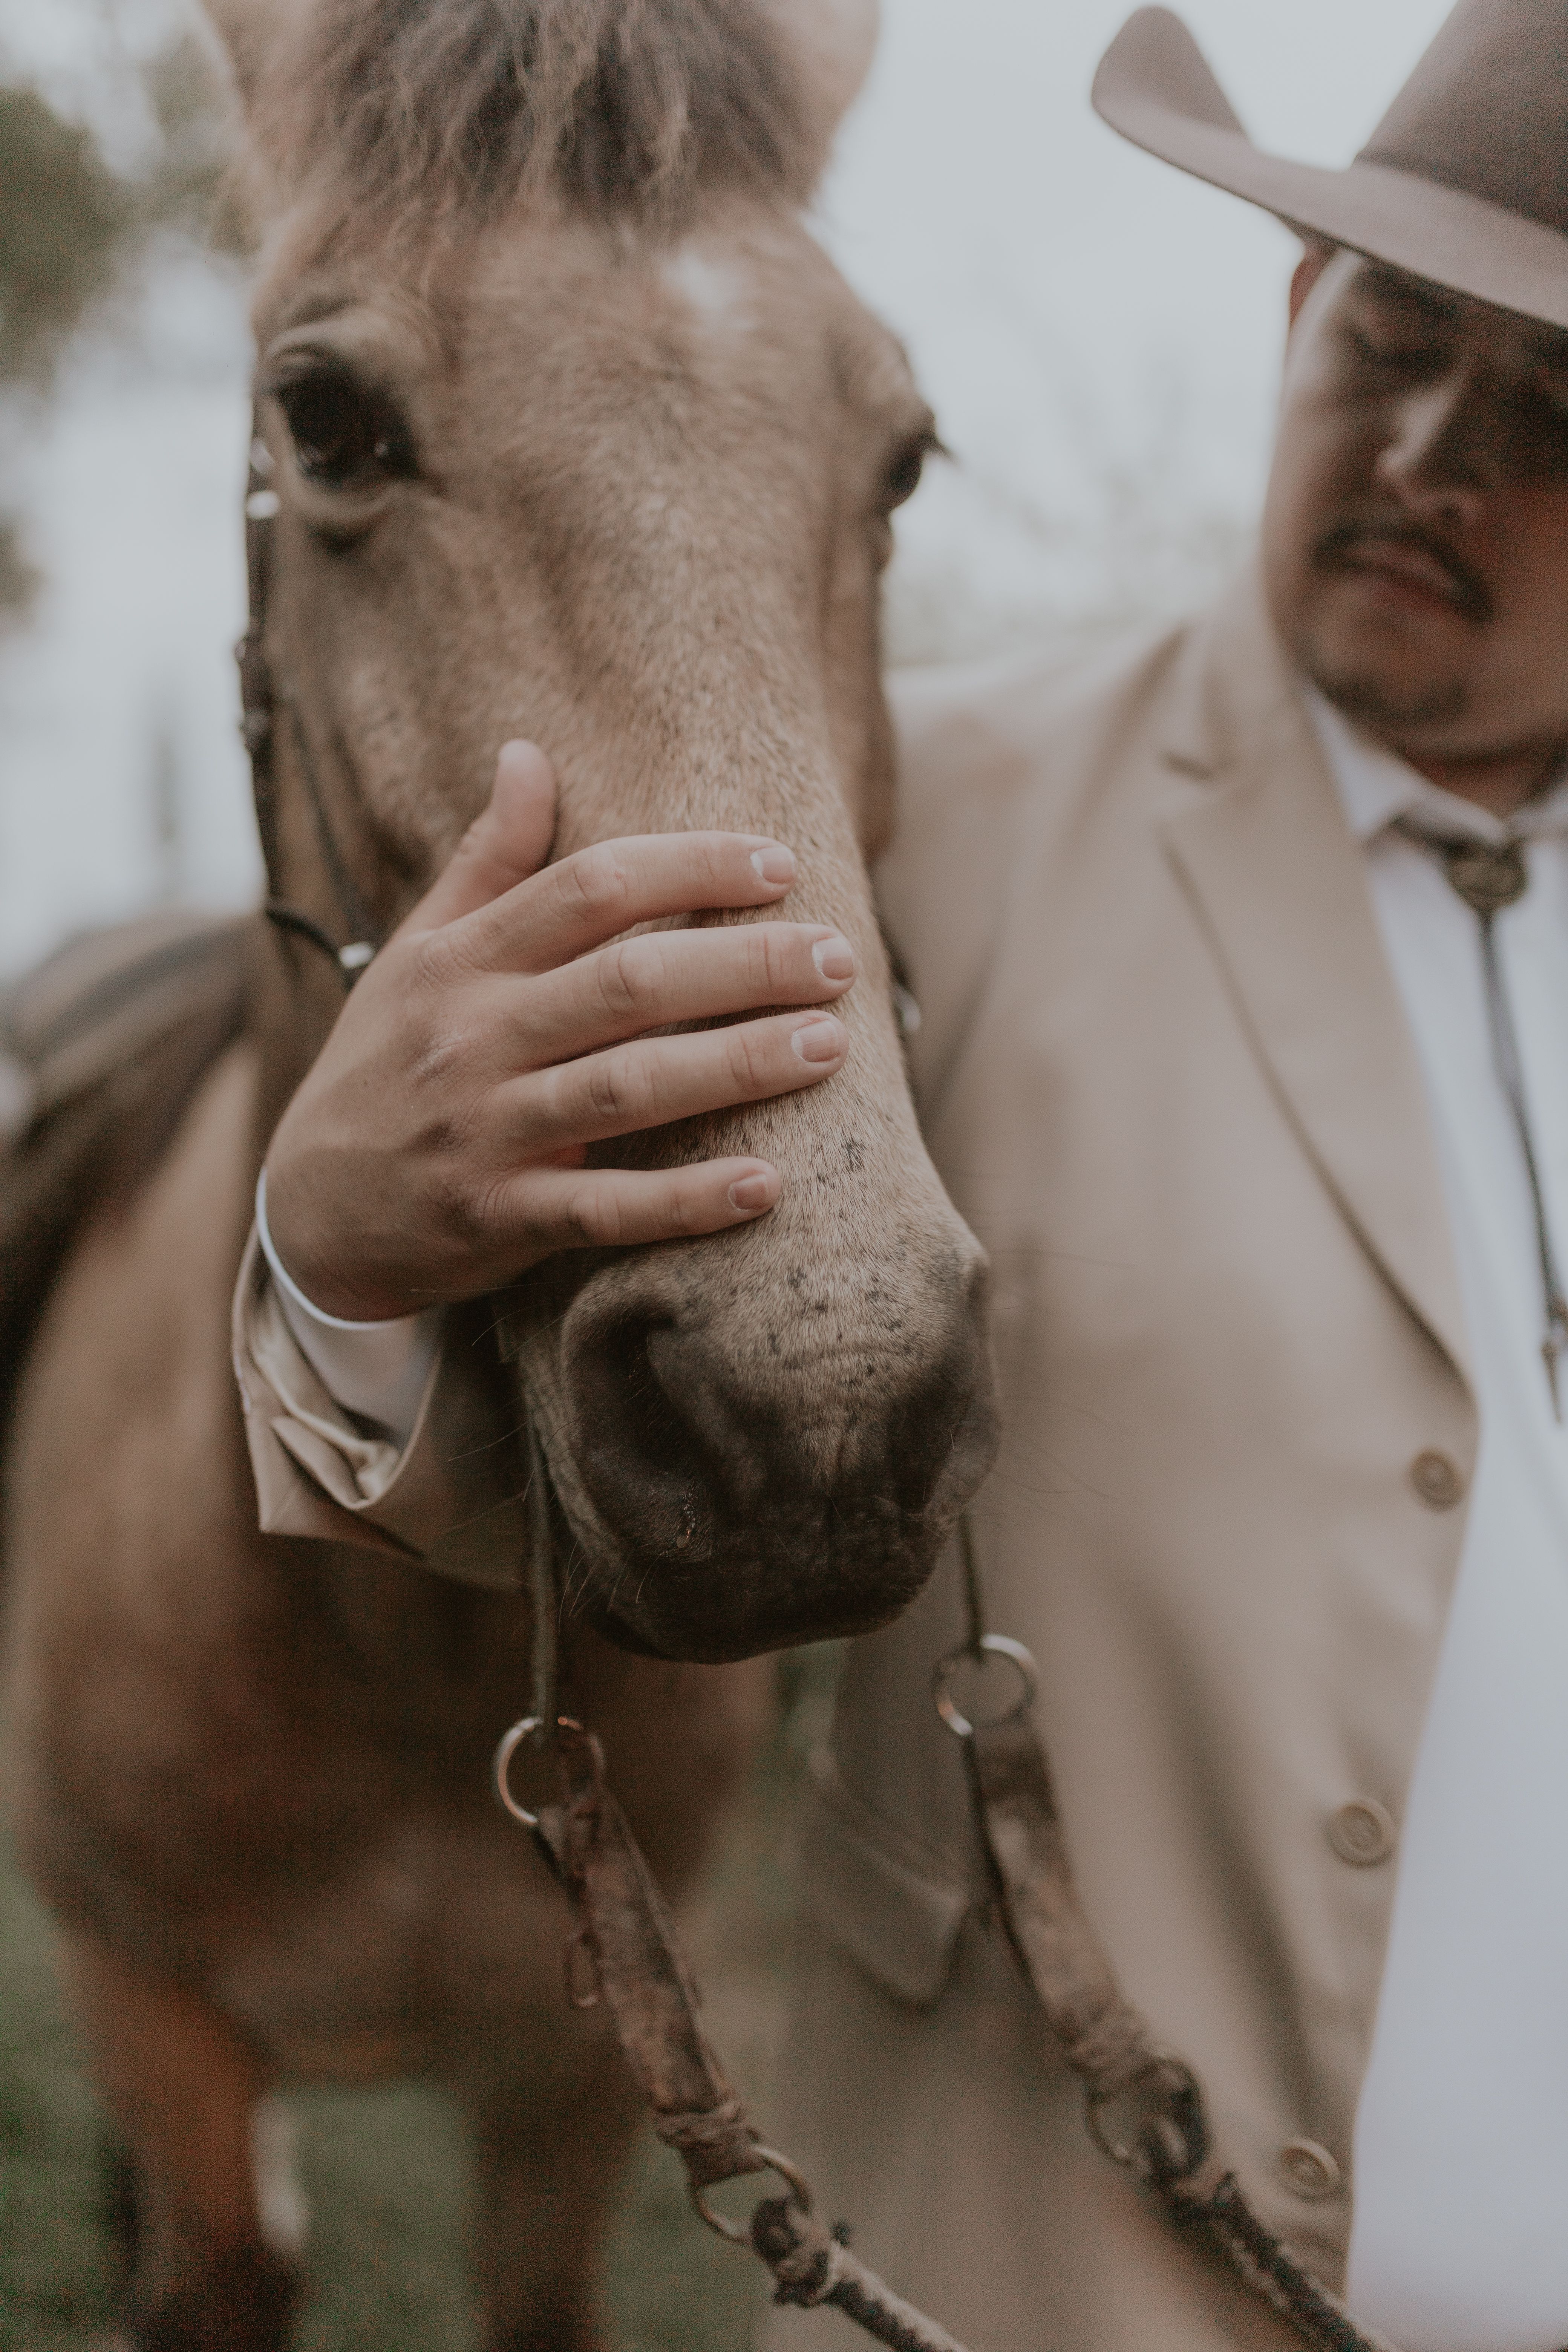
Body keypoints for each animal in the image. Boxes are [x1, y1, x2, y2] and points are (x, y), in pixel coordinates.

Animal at [0, 2, 997, 2344]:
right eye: (326, 420)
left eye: (903, 459)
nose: (807, 1407)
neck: (380, 1626)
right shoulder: (154, 2018)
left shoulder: (566, 2098)